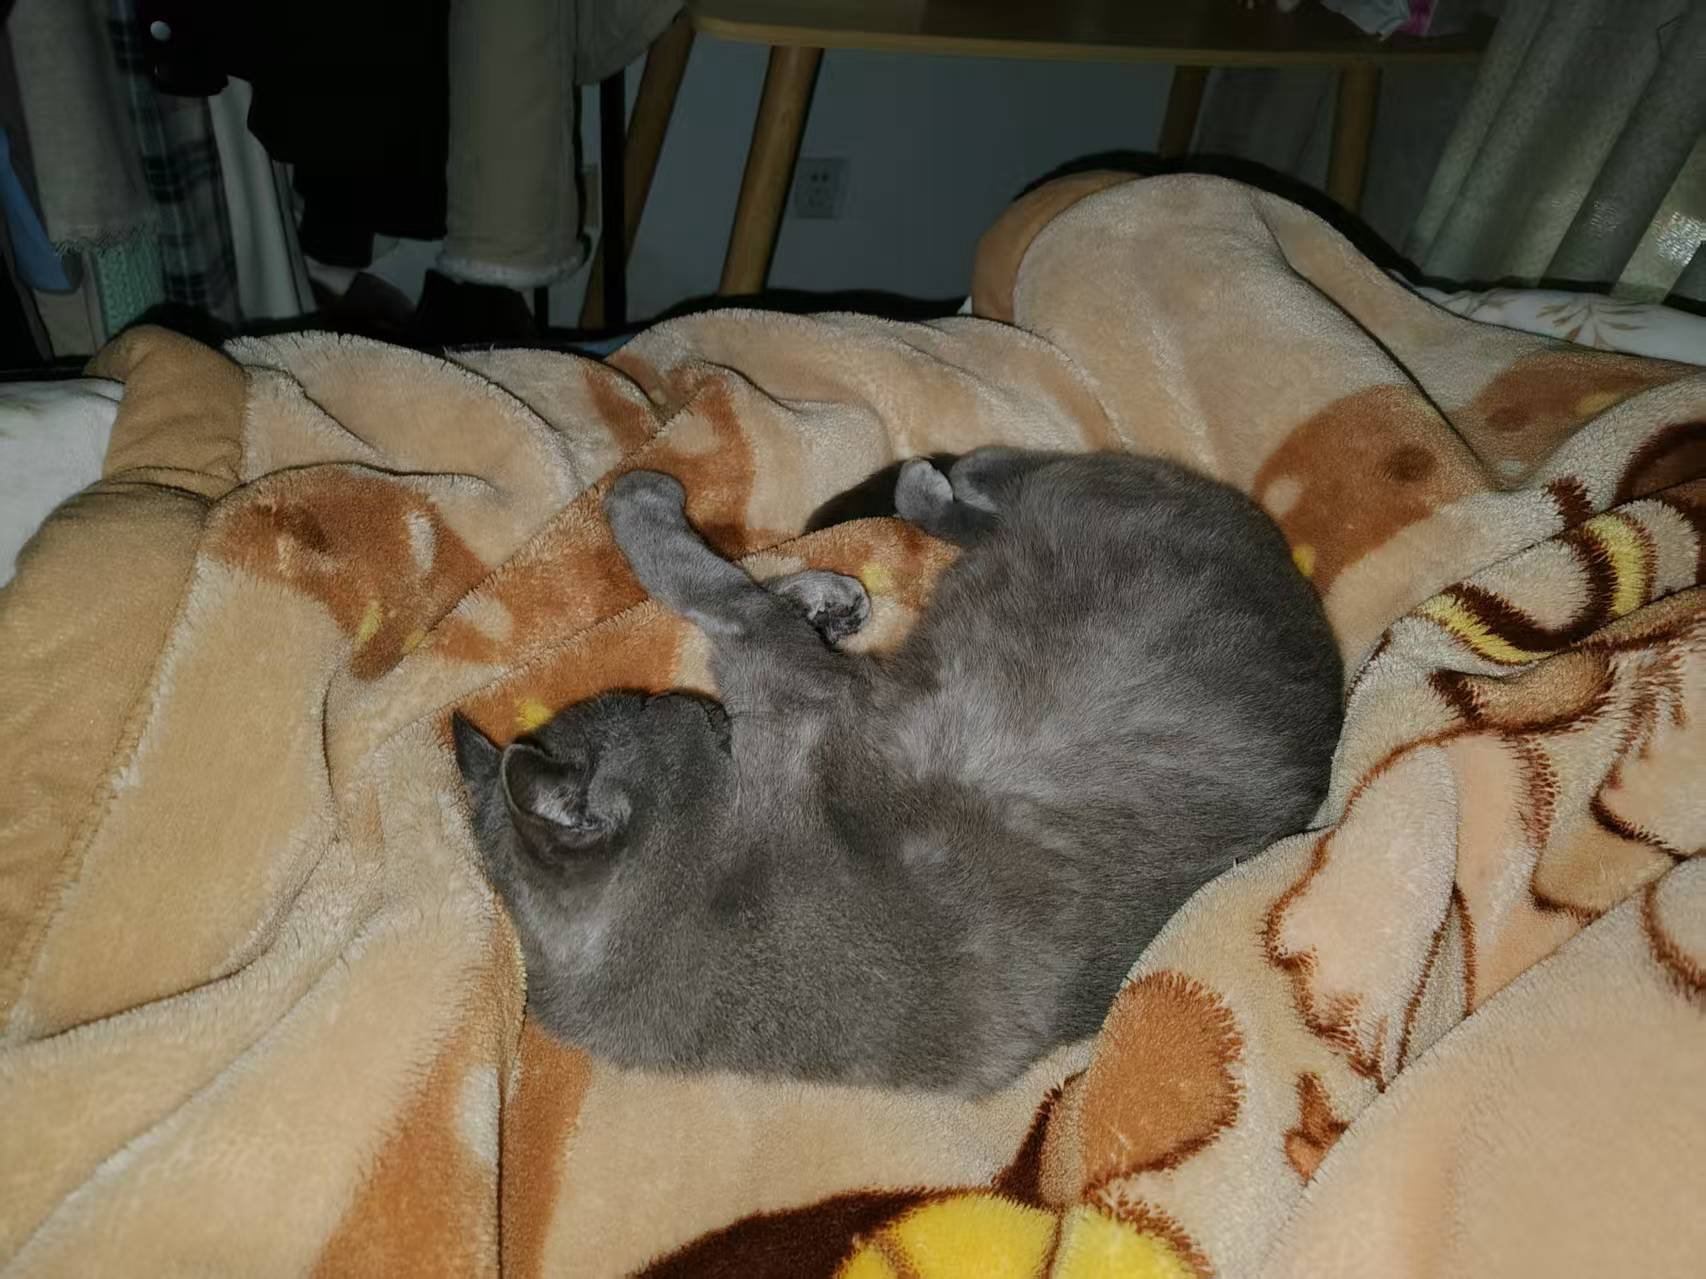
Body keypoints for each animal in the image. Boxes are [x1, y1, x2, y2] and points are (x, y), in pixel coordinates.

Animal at [453, 448, 1343, 1094]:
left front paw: (827, 594)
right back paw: (944, 479)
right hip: (1111, 512)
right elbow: (711, 587)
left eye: (639, 703)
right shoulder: (794, 677)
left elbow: (732, 591)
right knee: (1035, 479)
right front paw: (644, 500)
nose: (689, 706)